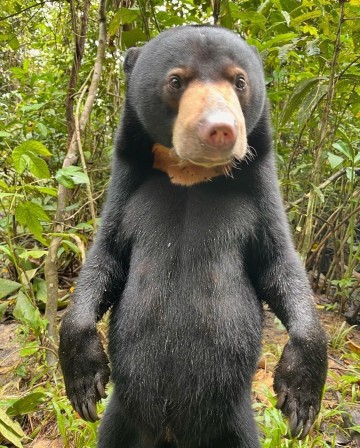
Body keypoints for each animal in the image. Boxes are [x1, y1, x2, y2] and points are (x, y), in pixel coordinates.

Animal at [59, 26, 330, 446]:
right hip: (123, 417)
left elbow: (278, 265)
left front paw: (300, 403)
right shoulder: (126, 187)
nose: (220, 129)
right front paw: (85, 385)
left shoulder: (260, 193)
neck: (190, 173)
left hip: (233, 422)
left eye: (239, 81)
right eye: (176, 81)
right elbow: (107, 259)